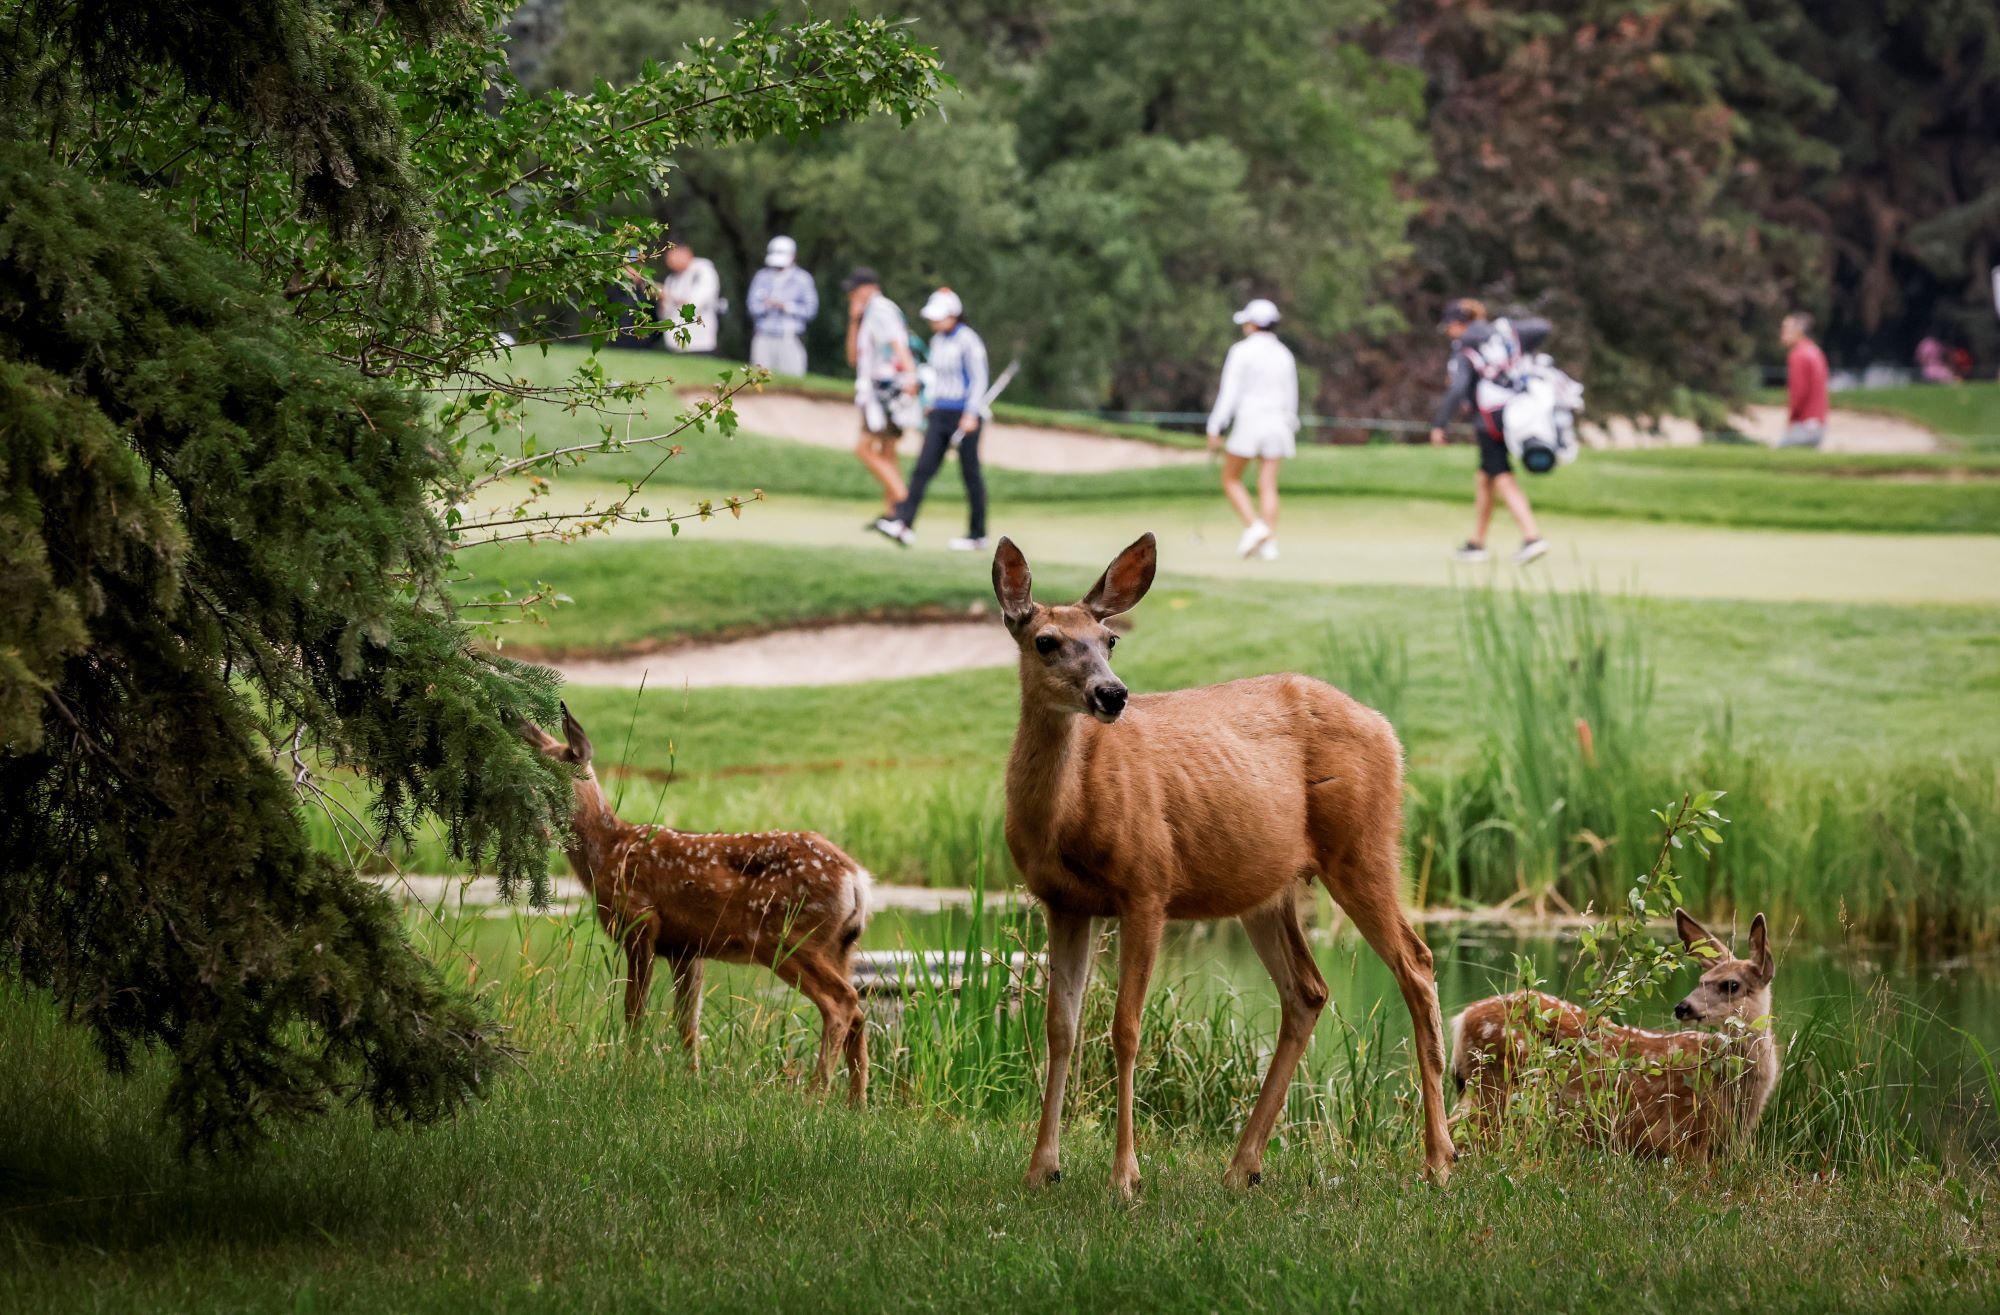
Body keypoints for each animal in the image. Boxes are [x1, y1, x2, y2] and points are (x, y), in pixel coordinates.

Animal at [520, 703, 872, 1103]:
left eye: (550, 774)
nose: (527, 809)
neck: (609, 851)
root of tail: (856, 879)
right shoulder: (686, 948)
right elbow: (687, 1021)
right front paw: (693, 1079)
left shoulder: (642, 922)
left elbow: (634, 1011)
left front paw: (628, 1074)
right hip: (840, 946)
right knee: (858, 1011)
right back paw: (856, 1103)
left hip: (788, 937)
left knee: (841, 1002)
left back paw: (815, 1095)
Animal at [996, 531, 1456, 1191]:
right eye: (1046, 641)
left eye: (1110, 640)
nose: (1112, 694)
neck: (1068, 813)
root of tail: (1390, 732)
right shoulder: (1062, 901)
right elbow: (1061, 1027)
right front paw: (1042, 1168)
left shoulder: (1148, 883)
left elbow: (1126, 1028)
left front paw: (1125, 1177)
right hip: (1266, 890)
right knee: (1308, 991)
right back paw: (1242, 1165)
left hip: (1363, 845)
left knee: (1416, 963)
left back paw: (1439, 1159)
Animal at [1456, 907, 1784, 1151]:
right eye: (1701, 980)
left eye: (1731, 985)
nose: (1683, 1007)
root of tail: (1462, 1018)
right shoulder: (1684, 1135)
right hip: (1496, 1085)